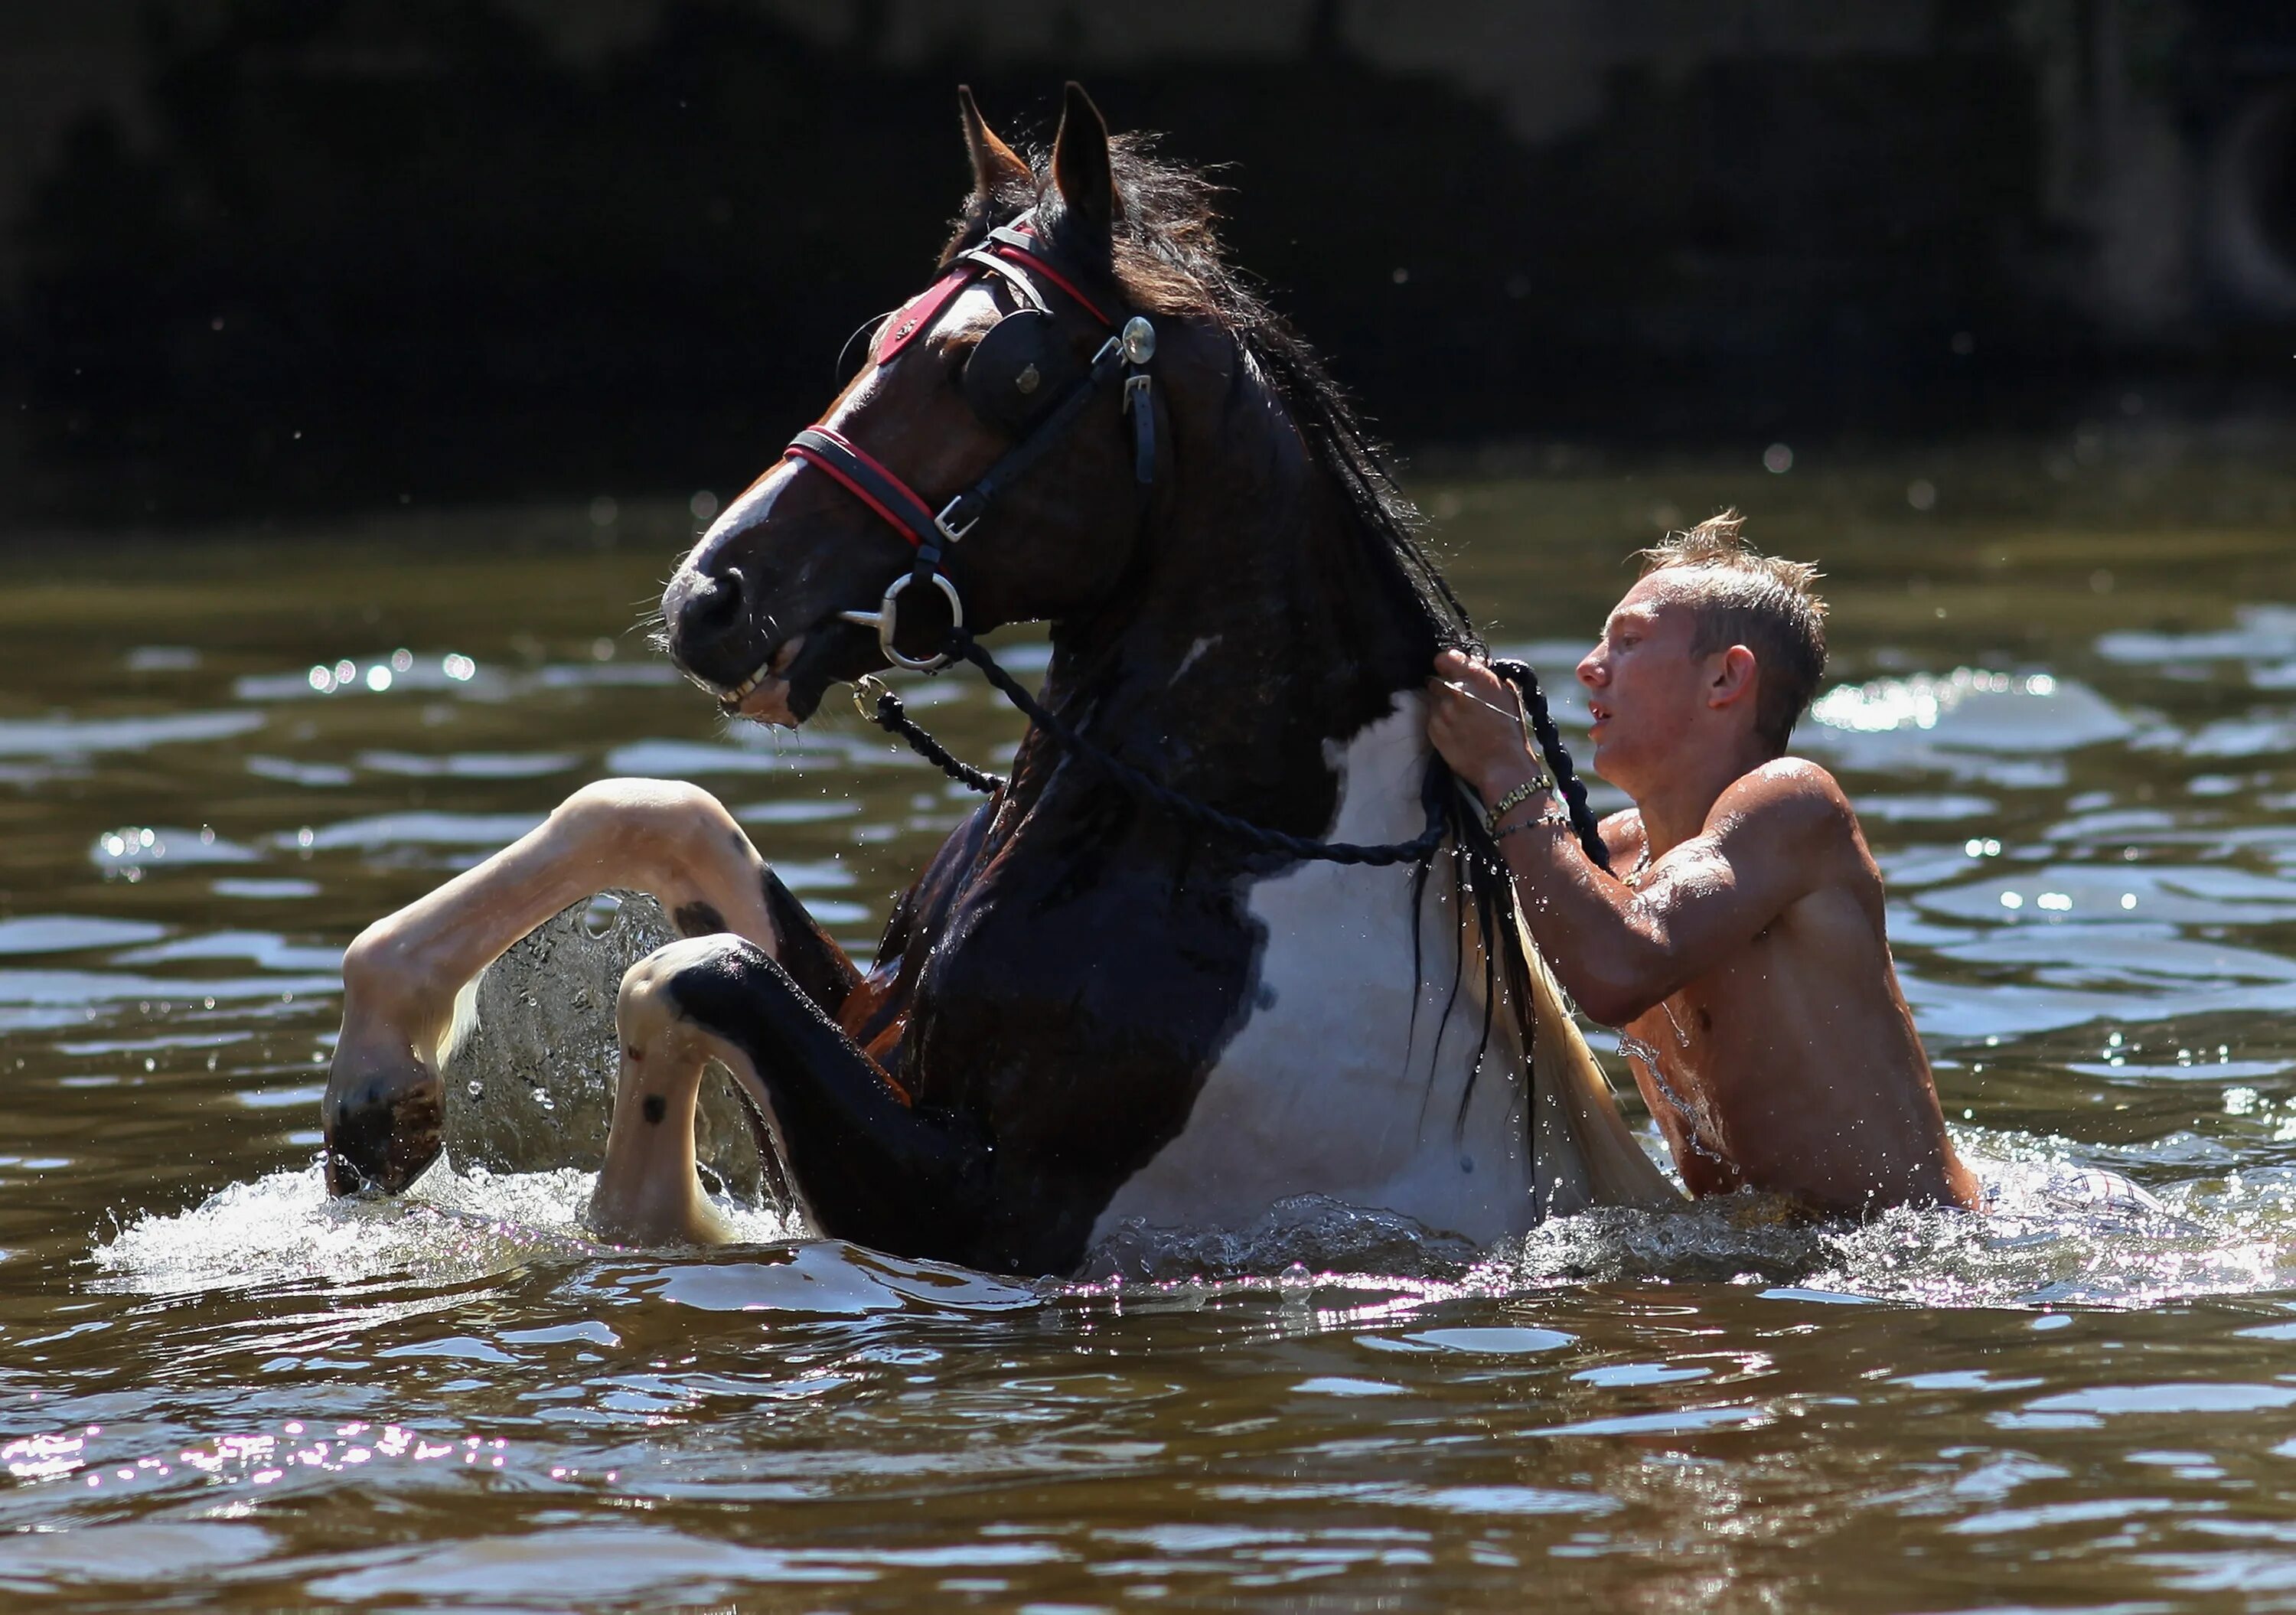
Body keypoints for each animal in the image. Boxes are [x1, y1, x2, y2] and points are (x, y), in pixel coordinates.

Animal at [324, 85, 1681, 1277]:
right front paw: (378, 1096)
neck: (1236, 861)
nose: (711, 598)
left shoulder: (992, 1206)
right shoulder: (883, 1028)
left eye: (1005, 369)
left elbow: (685, 977)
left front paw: (655, 1225)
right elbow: (652, 815)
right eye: (874, 337)